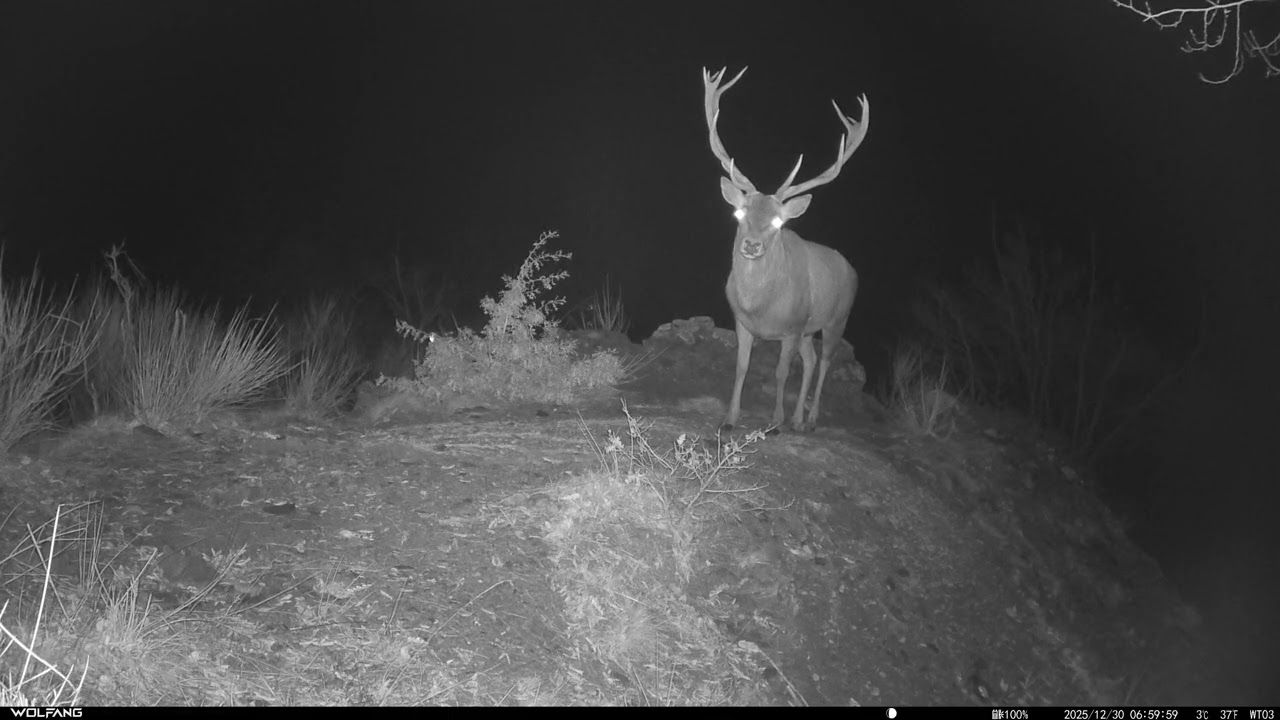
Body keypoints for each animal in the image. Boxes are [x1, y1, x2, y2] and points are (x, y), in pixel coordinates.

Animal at [702, 66, 868, 433]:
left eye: (778, 222)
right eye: (739, 213)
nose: (751, 245)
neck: (760, 308)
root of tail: (851, 268)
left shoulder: (792, 327)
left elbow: (781, 372)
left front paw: (774, 421)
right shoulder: (742, 322)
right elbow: (742, 367)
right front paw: (730, 418)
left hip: (838, 318)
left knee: (824, 362)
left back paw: (810, 419)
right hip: (809, 330)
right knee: (811, 361)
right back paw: (797, 418)